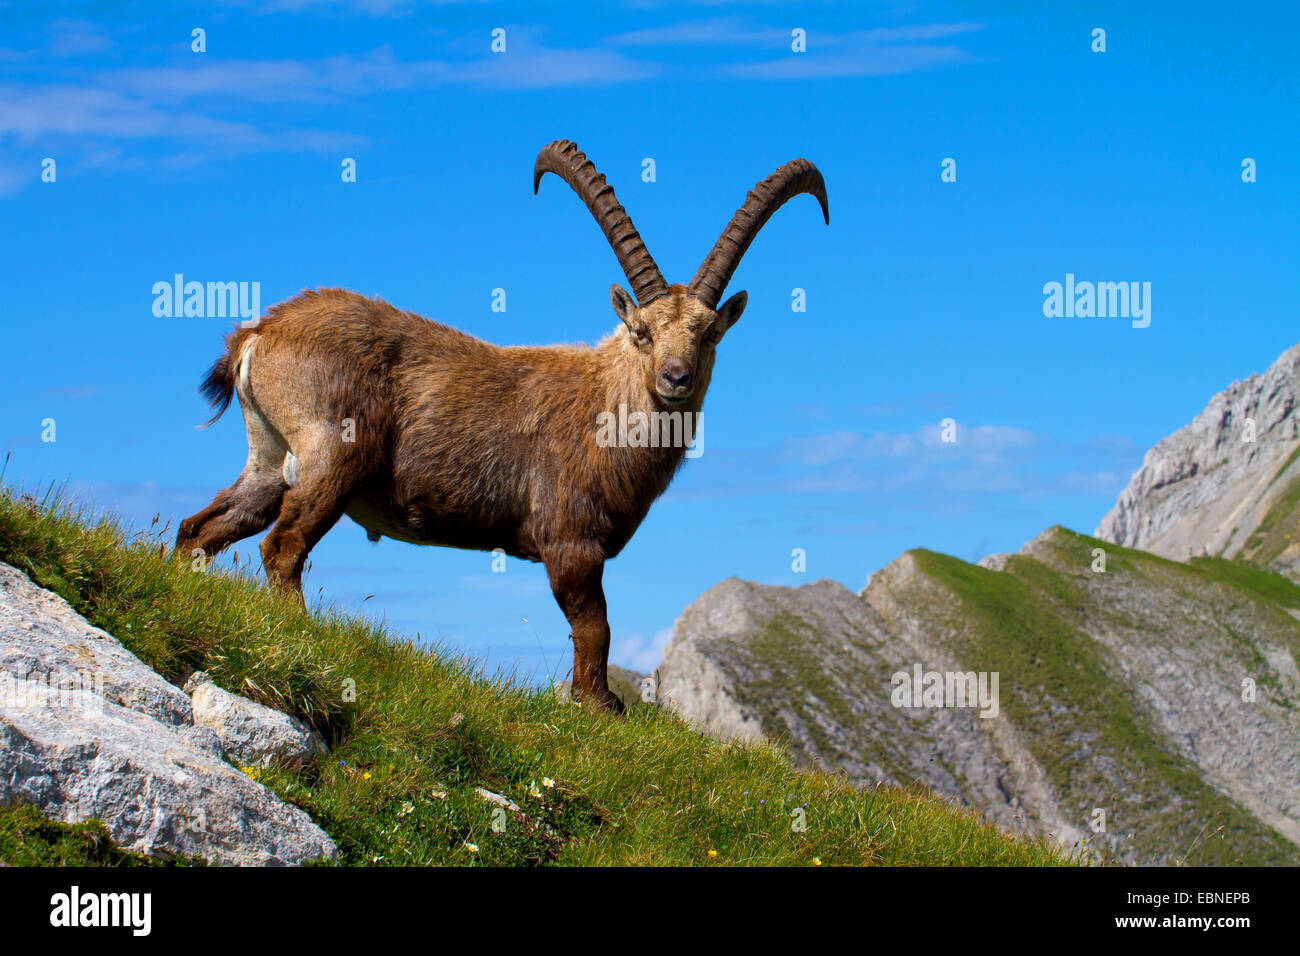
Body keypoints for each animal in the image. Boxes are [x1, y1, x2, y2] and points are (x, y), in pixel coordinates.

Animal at [176, 140, 828, 711]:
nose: (675, 378)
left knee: (206, 525)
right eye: (641, 331)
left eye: (710, 333)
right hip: (333, 456)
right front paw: (600, 709)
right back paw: (305, 634)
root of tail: (261, 333)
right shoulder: (570, 540)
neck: (607, 412)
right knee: (282, 543)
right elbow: (595, 628)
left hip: (268, 456)